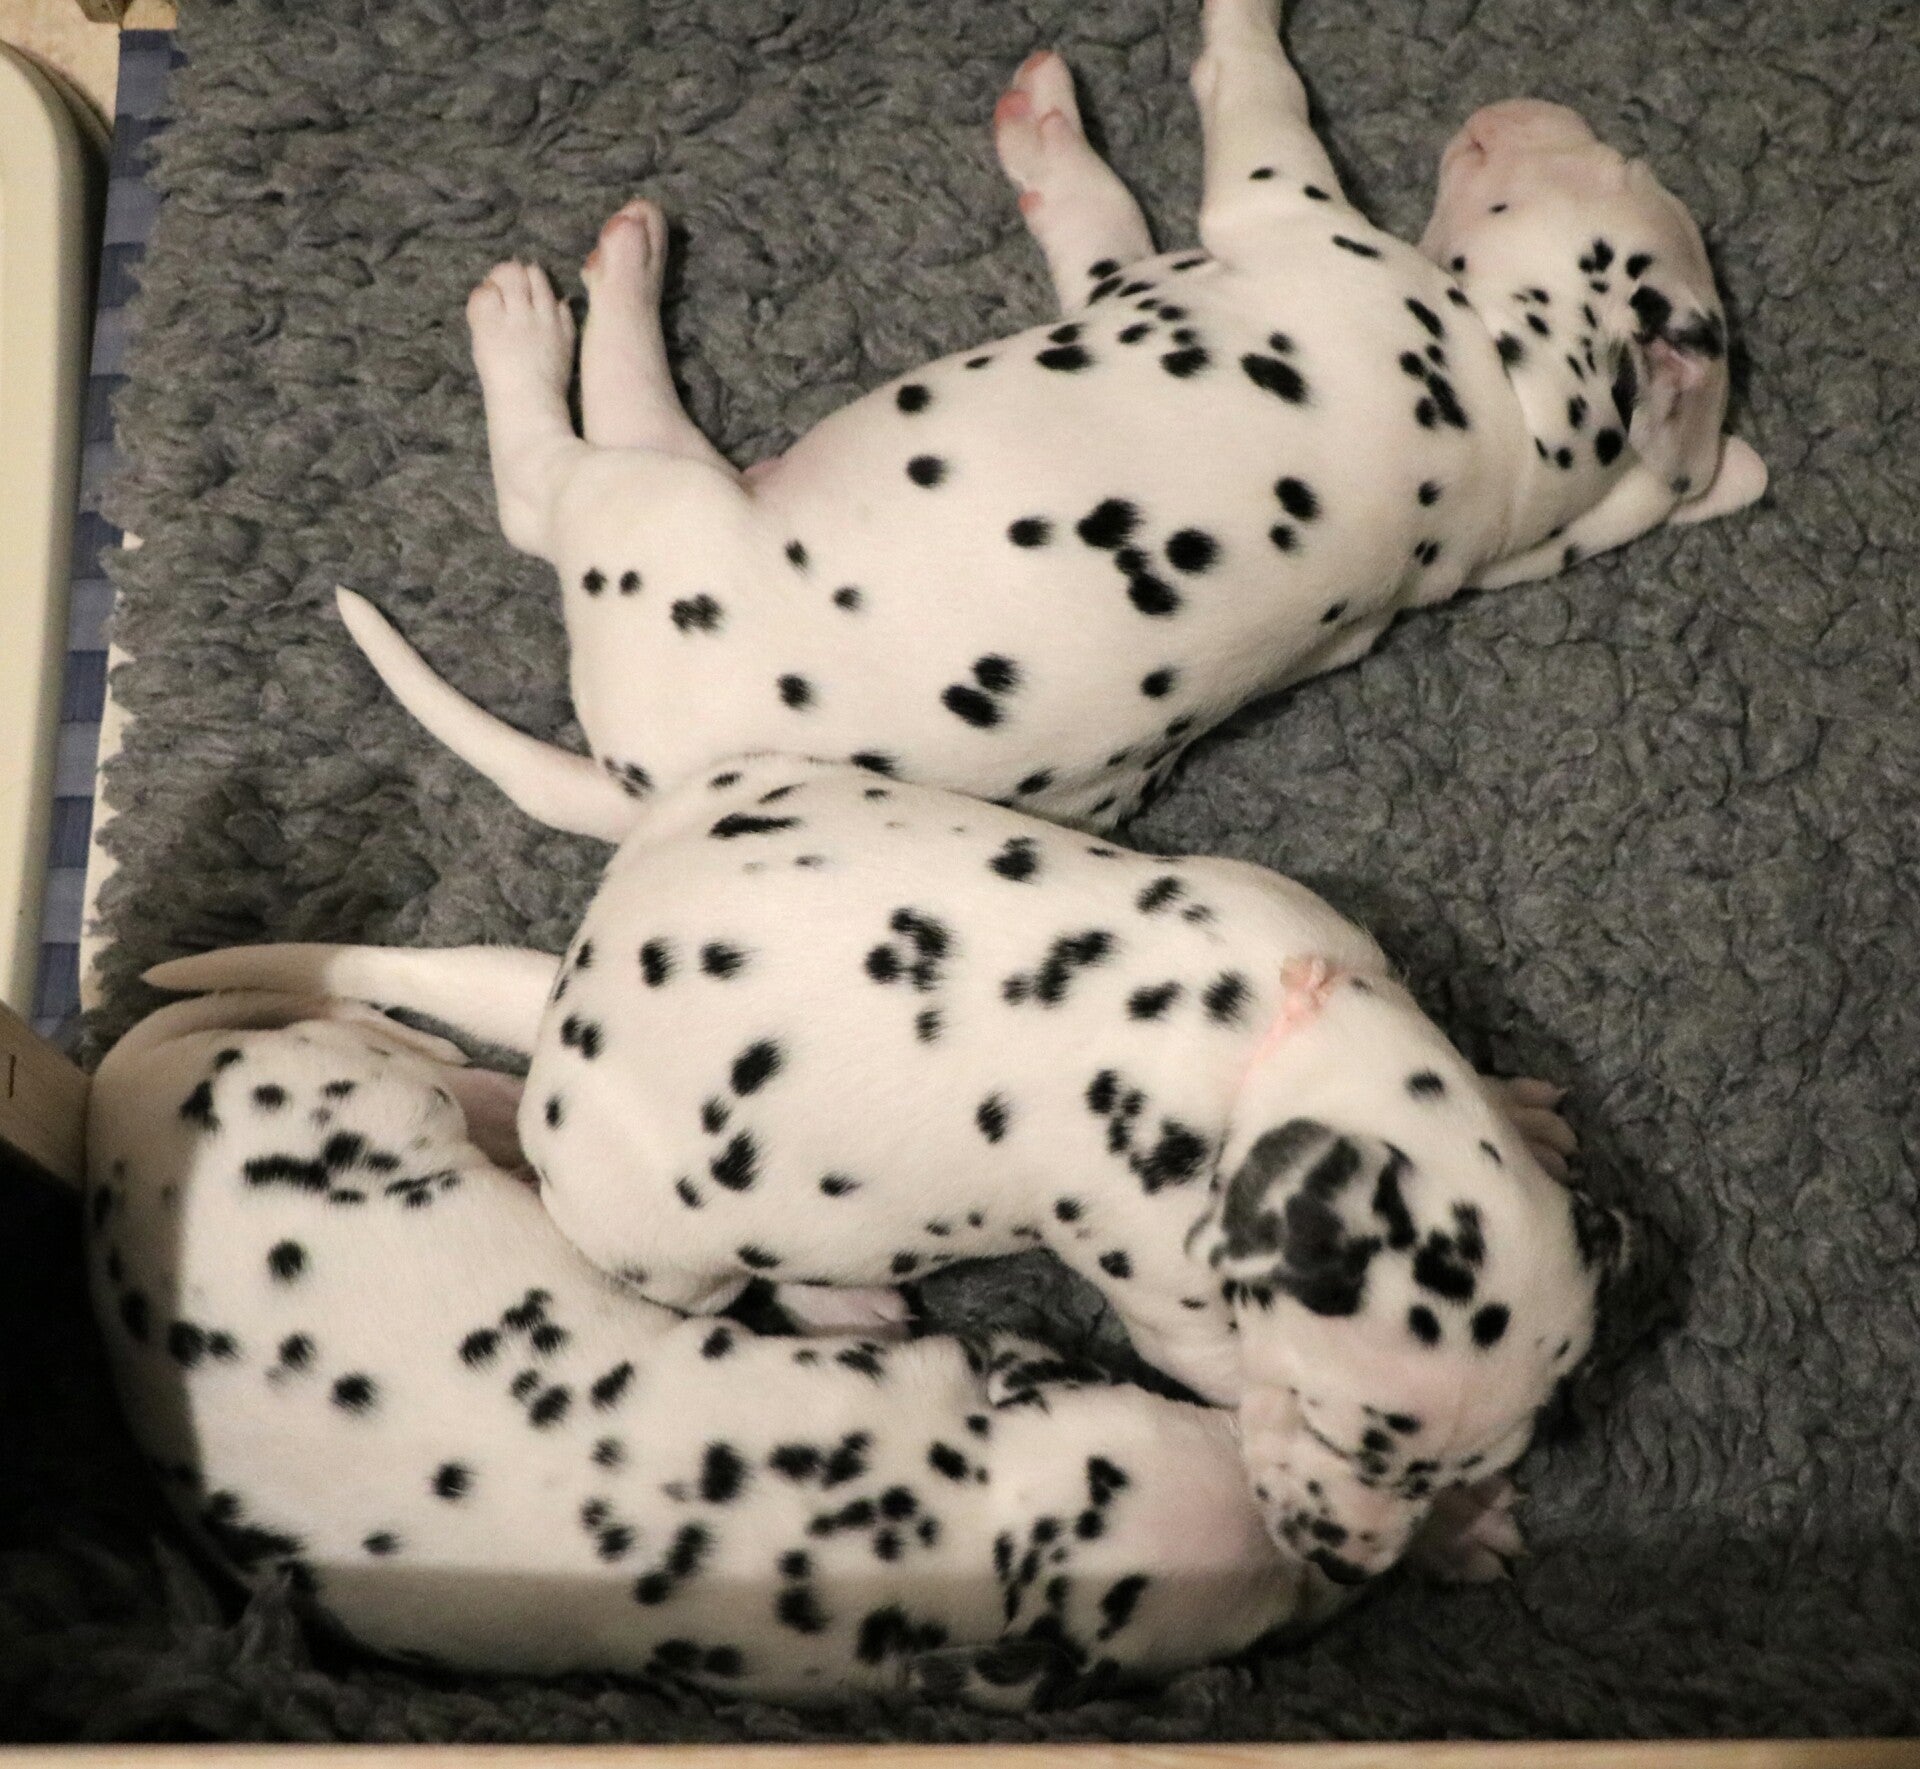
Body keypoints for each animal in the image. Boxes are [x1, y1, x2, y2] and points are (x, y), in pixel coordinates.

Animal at [86, 990, 1354, 1706]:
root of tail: (122, 1093)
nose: (1356, 1573)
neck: (931, 1512)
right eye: (1273, 1605)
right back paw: (483, 1086)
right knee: (374, 1040)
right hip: (360, 1093)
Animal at [151, 756, 1630, 1583]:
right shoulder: (1174, 1302)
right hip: (669, 1239)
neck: (1256, 1041)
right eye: (1341, 1437)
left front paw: (1521, 1106)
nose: (1352, 1560)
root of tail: (560, 992)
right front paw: (1454, 1537)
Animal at [330, 0, 1766, 840]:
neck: (1507, 403)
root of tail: (650, 789)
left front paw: (1236, 19)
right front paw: (1046, 131)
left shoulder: (1270, 201)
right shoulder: (1132, 277)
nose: (1539, 105)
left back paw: (552, 307)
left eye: (1617, 161)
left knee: (548, 483)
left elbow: (1255, 87)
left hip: (653, 512)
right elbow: (1094, 213)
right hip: (707, 487)